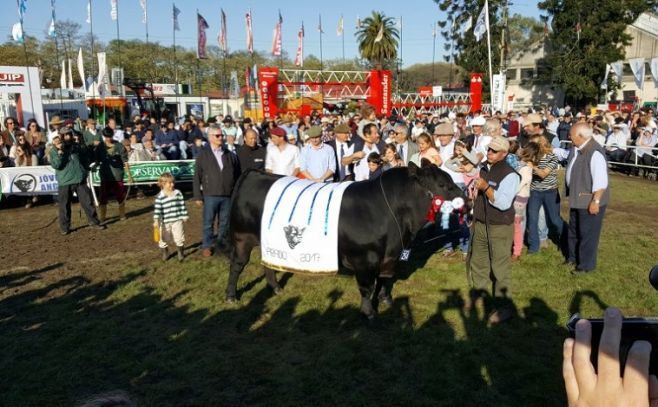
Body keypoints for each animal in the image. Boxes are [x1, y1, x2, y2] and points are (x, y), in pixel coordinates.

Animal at [228, 161, 464, 318]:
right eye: (443, 184)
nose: (466, 198)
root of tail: (256, 173)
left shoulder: (390, 256)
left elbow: (385, 280)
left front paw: (386, 301)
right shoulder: (365, 259)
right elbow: (367, 287)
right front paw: (368, 312)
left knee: (267, 263)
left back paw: (276, 287)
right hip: (242, 238)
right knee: (237, 265)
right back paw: (231, 296)